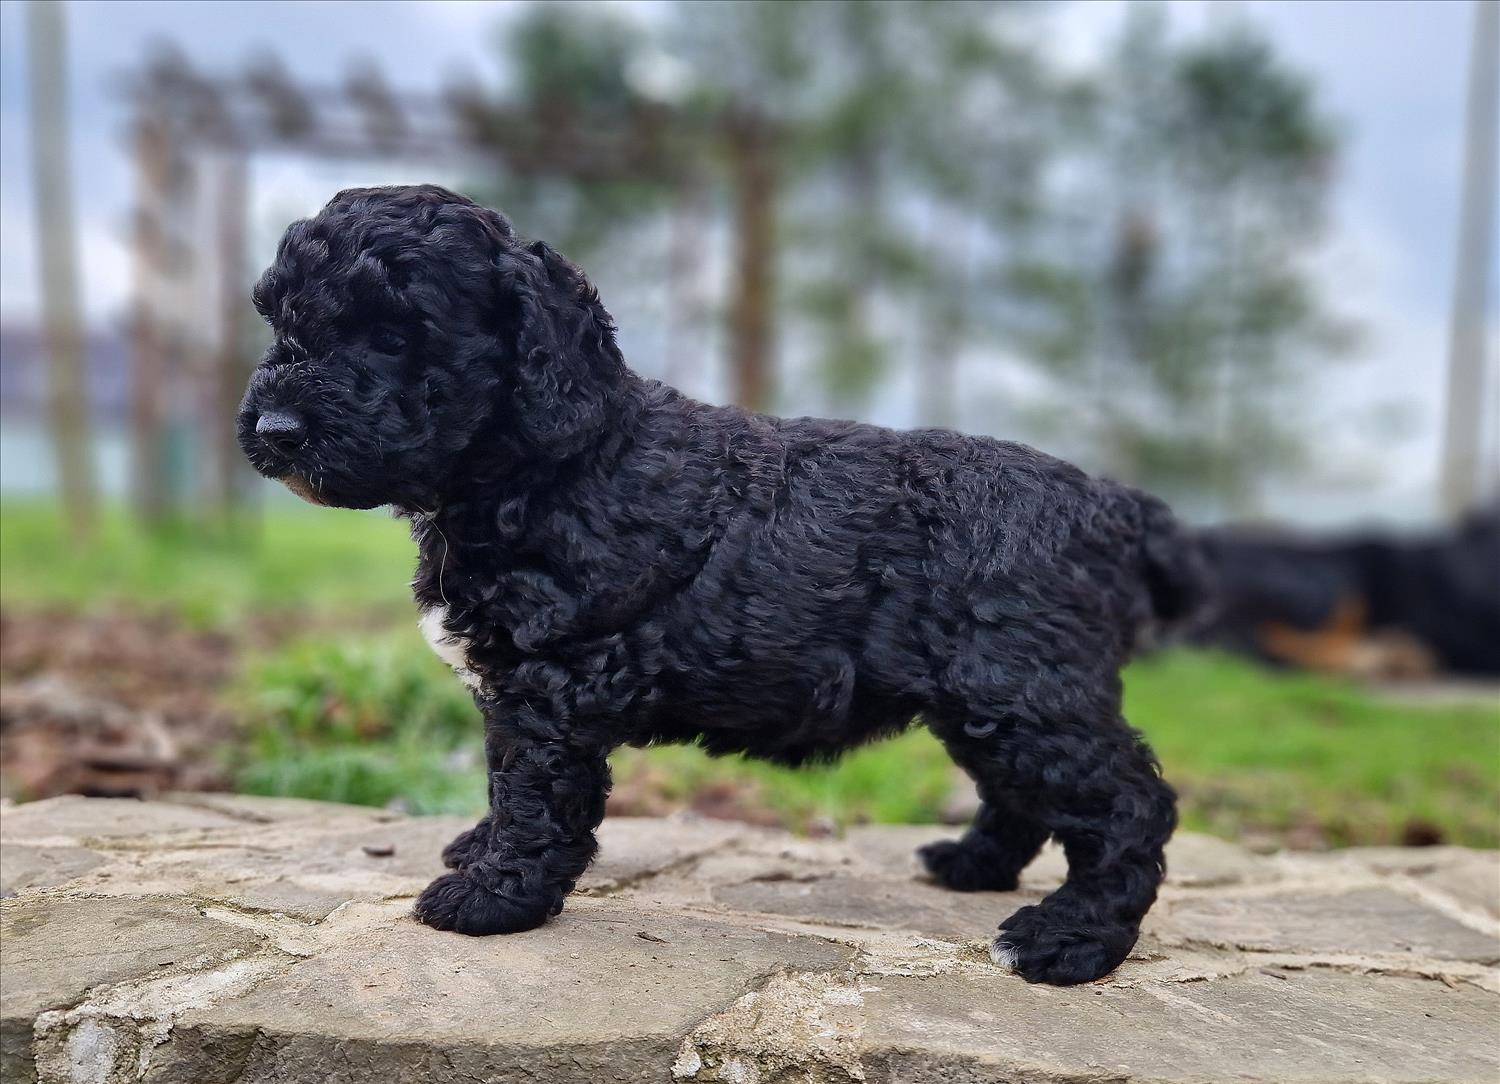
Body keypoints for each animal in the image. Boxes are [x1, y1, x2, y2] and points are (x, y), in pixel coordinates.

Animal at [238, 184, 1207, 986]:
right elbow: (500, 777)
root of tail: (1115, 502)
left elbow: (534, 796)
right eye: (283, 322)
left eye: (396, 333)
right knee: (1029, 797)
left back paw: (1069, 942)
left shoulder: (552, 688)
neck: (546, 463)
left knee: (1129, 805)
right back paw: (974, 867)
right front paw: (477, 851)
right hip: (995, 697)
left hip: (1022, 689)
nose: (274, 429)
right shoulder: (514, 689)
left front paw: (491, 896)